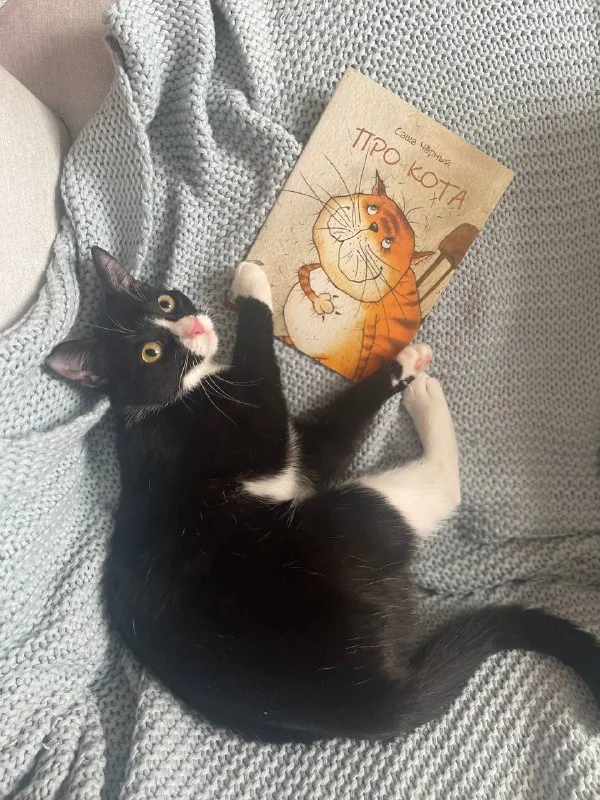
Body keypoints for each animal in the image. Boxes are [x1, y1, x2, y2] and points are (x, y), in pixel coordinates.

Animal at [46, 247, 600, 743]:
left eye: (164, 302)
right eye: (150, 353)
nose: (197, 329)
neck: (171, 399)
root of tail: (366, 703)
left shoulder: (300, 457)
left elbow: (339, 423)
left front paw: (403, 360)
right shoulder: (252, 432)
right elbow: (262, 364)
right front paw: (253, 284)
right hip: (342, 526)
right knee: (440, 488)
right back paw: (428, 401)